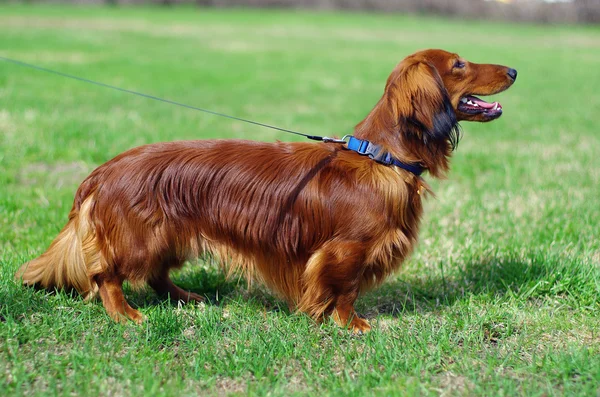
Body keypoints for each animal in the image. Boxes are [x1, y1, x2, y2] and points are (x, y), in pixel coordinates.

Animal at [17, 48, 516, 332]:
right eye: (459, 64)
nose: (513, 69)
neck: (382, 156)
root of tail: (100, 172)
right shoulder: (347, 250)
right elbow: (347, 290)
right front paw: (351, 325)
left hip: (168, 235)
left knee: (157, 275)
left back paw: (186, 299)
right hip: (141, 237)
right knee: (107, 276)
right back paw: (124, 314)